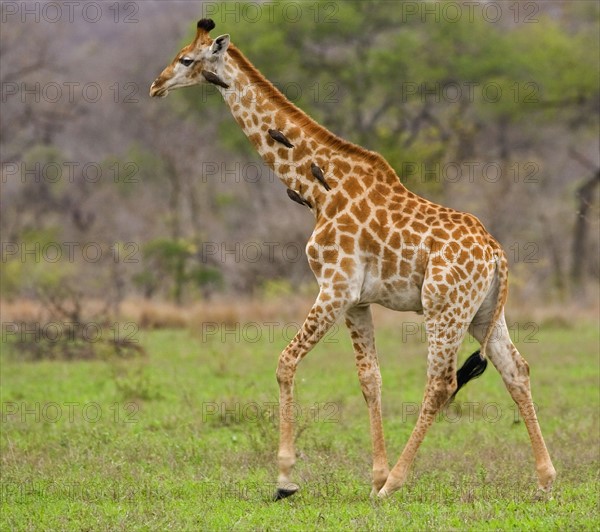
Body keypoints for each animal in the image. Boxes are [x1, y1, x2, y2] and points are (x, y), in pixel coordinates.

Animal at [151, 16, 556, 498]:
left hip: (444, 308)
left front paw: (286, 478)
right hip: (482, 312)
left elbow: (285, 361)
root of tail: (497, 255)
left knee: (442, 382)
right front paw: (373, 473)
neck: (319, 190)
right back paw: (545, 479)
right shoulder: (357, 300)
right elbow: (370, 378)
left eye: (186, 59)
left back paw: (396, 483)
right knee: (517, 370)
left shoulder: (335, 286)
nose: (155, 85)